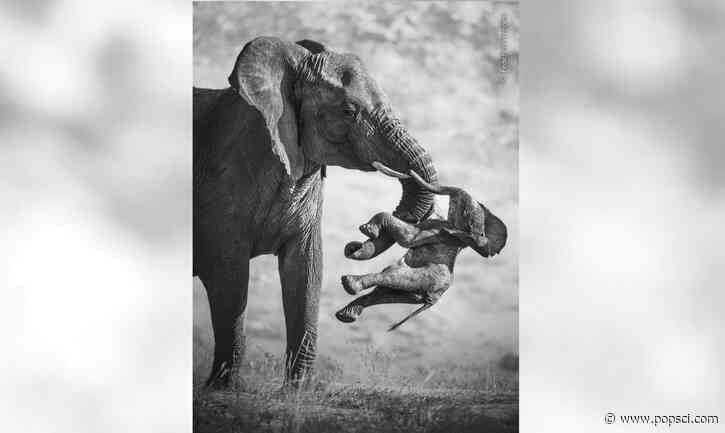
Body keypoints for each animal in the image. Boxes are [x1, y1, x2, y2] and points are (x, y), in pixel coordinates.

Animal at [193, 37, 439, 388]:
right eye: (348, 111)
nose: (357, 241)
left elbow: (307, 270)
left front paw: (298, 391)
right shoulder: (222, 187)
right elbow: (230, 277)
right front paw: (224, 390)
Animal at [335, 169, 507, 331]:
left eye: (465, 212)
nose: (409, 172)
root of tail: (434, 299)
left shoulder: (436, 231)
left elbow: (407, 238)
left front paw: (367, 230)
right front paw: (355, 247)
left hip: (424, 278)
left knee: (392, 276)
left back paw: (349, 284)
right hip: (417, 291)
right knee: (384, 293)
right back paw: (346, 314)